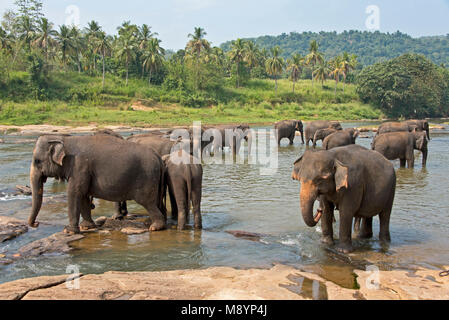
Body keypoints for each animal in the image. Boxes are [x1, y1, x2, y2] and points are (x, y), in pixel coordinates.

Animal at [29, 134, 166, 234]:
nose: (36, 224)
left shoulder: (79, 167)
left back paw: (155, 227)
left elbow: (74, 193)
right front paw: (87, 227)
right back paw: (152, 223)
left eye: (37, 161)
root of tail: (157, 156)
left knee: (147, 202)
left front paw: (69, 231)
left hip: (147, 178)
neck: (65, 140)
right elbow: (83, 196)